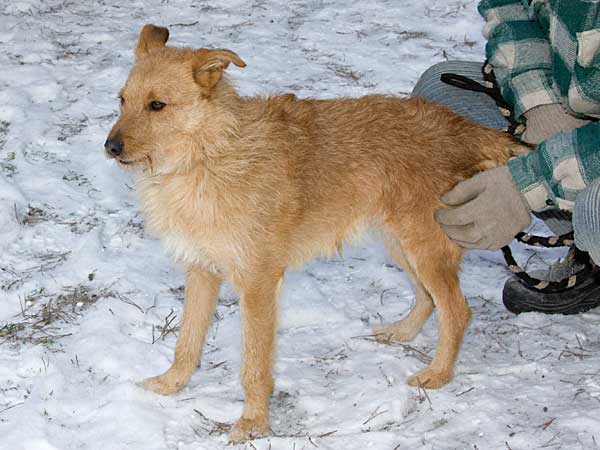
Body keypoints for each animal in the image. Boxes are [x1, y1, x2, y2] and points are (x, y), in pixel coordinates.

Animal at [105, 24, 529, 442]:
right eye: (122, 100)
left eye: (157, 105)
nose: (110, 147)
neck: (207, 154)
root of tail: (463, 129)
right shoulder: (202, 271)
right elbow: (187, 342)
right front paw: (171, 384)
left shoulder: (258, 283)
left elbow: (254, 365)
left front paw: (253, 422)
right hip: (400, 243)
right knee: (428, 298)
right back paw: (403, 332)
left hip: (424, 247)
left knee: (456, 309)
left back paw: (438, 374)